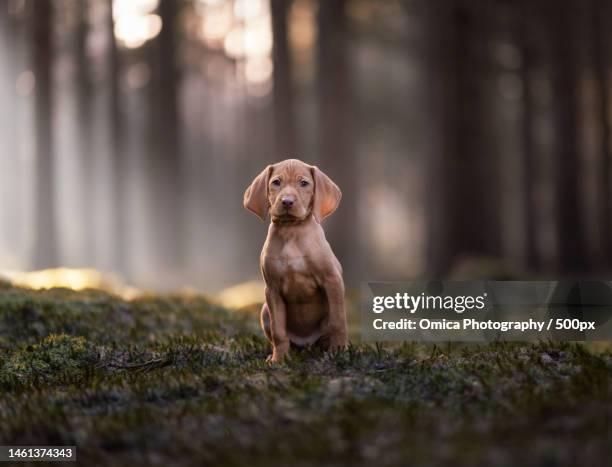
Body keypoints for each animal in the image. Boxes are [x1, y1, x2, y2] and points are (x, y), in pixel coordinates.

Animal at [245, 158, 350, 362]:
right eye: (276, 182)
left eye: (304, 183)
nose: (287, 201)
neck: (291, 230)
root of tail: (306, 344)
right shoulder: (272, 290)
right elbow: (278, 331)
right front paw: (279, 360)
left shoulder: (332, 280)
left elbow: (337, 322)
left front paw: (339, 352)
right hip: (265, 311)